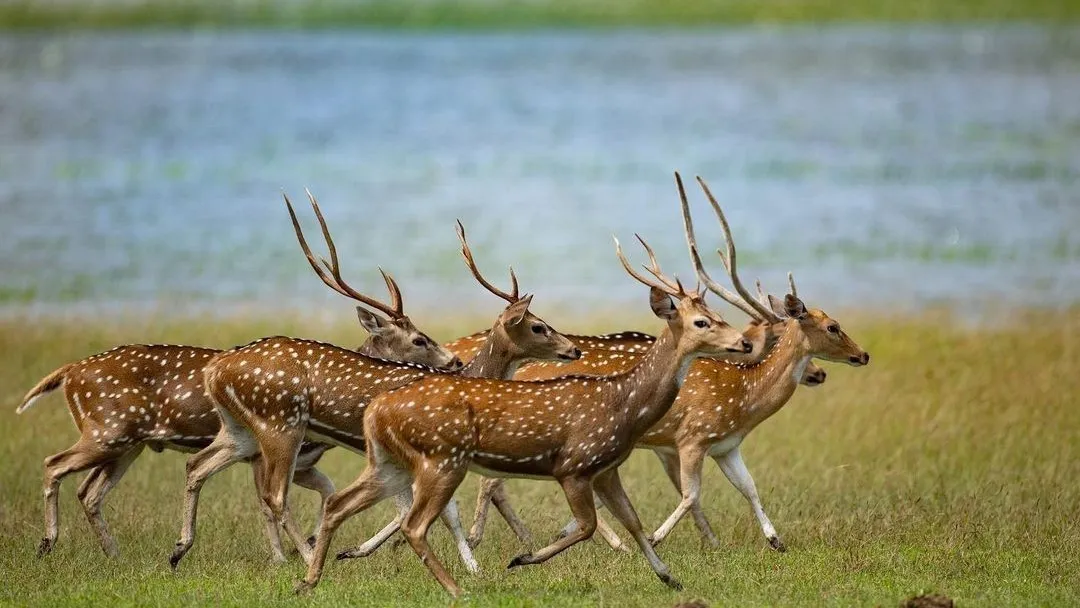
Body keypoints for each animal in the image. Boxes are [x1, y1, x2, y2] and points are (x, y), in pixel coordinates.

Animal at [13, 188, 460, 561]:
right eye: (419, 339)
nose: (454, 359)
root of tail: (70, 371)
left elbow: (322, 494)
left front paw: (303, 549)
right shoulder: (271, 455)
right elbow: (273, 502)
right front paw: (292, 555)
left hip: (129, 444)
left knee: (92, 491)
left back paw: (119, 556)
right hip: (111, 431)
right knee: (56, 464)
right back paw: (49, 543)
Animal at [170, 215, 583, 574]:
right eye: (539, 326)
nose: (574, 349)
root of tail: (215, 369)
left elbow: (441, 511)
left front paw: (472, 567)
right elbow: (416, 510)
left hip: (239, 429)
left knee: (197, 465)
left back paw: (180, 550)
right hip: (281, 424)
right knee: (274, 494)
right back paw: (307, 558)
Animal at [298, 173, 760, 596]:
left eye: (717, 315)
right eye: (702, 322)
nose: (744, 341)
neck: (625, 405)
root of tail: (377, 409)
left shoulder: (606, 468)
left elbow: (632, 520)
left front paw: (669, 577)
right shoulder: (574, 464)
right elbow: (587, 525)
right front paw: (522, 558)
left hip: (389, 462)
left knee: (339, 502)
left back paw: (310, 578)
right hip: (441, 460)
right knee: (413, 523)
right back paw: (456, 588)